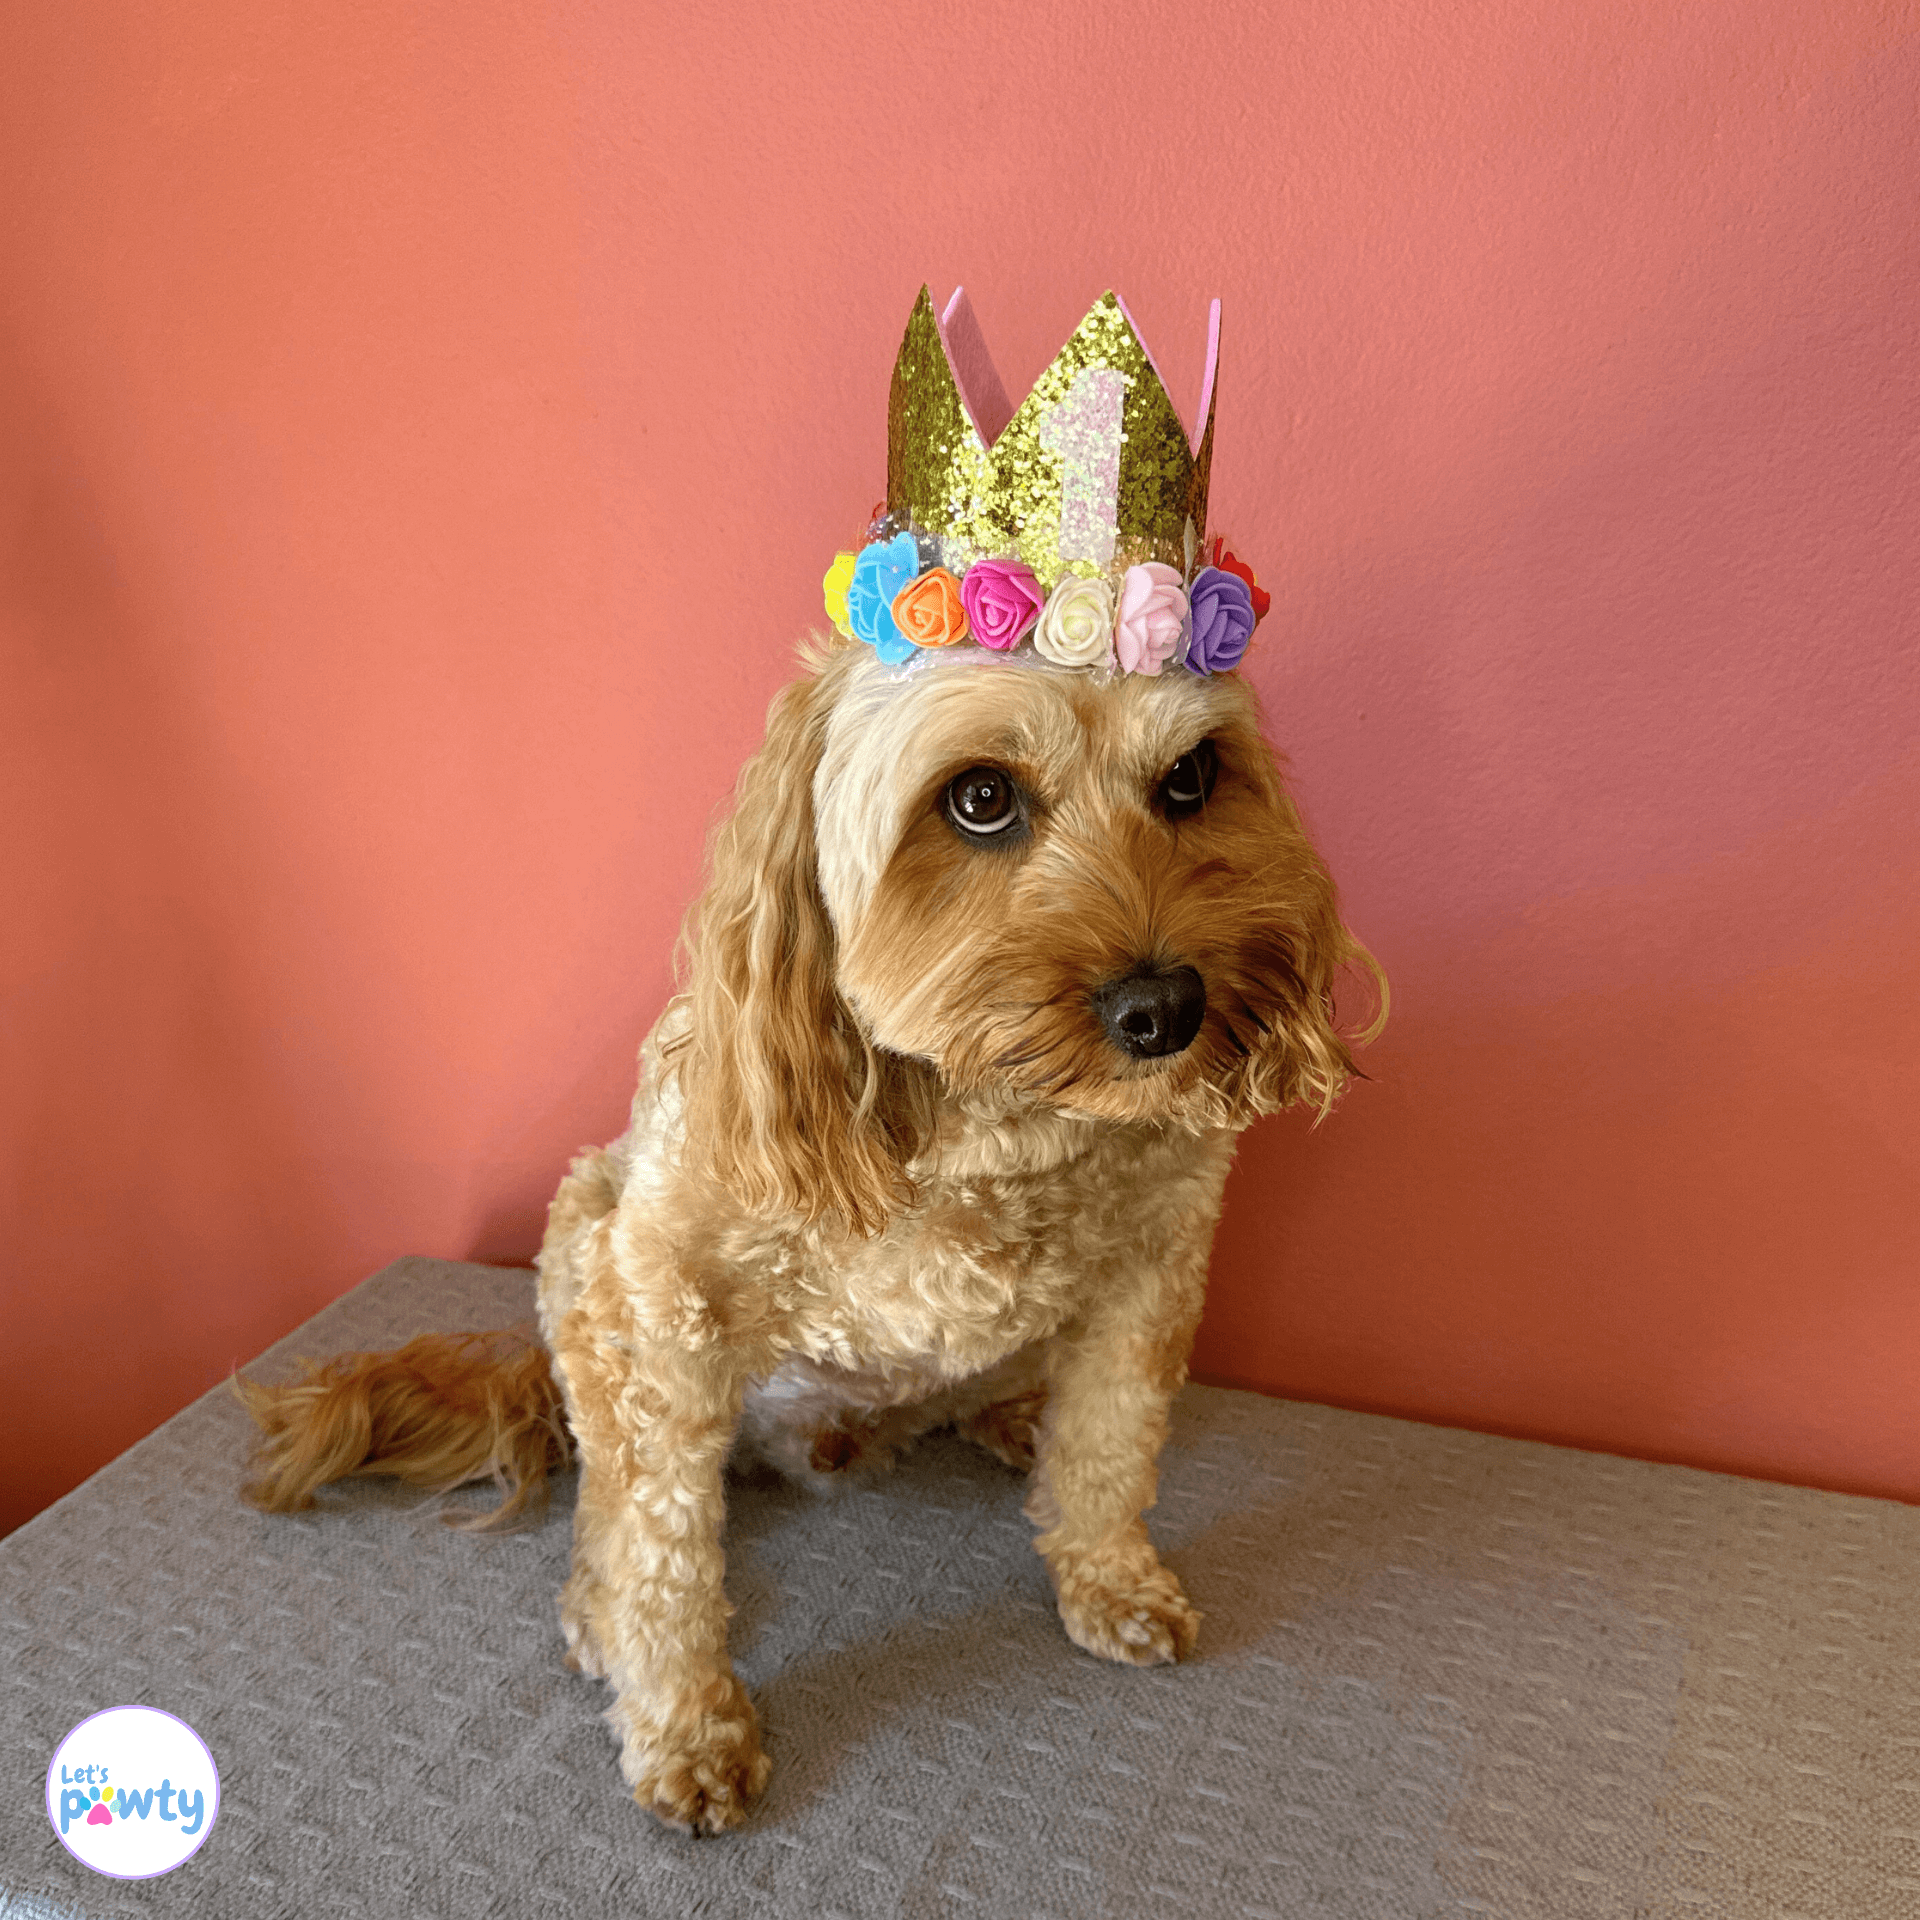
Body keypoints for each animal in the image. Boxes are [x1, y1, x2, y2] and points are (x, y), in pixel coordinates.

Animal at [240, 625, 1382, 1827]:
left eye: (1191, 777)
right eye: (980, 797)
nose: (1165, 1009)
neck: (995, 1129)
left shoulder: (1156, 1267)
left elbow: (1111, 1447)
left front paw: (1109, 1575)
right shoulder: (662, 1303)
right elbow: (664, 1556)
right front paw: (685, 1725)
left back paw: (1013, 1413)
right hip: (583, 1239)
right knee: (607, 1488)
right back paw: (597, 1603)